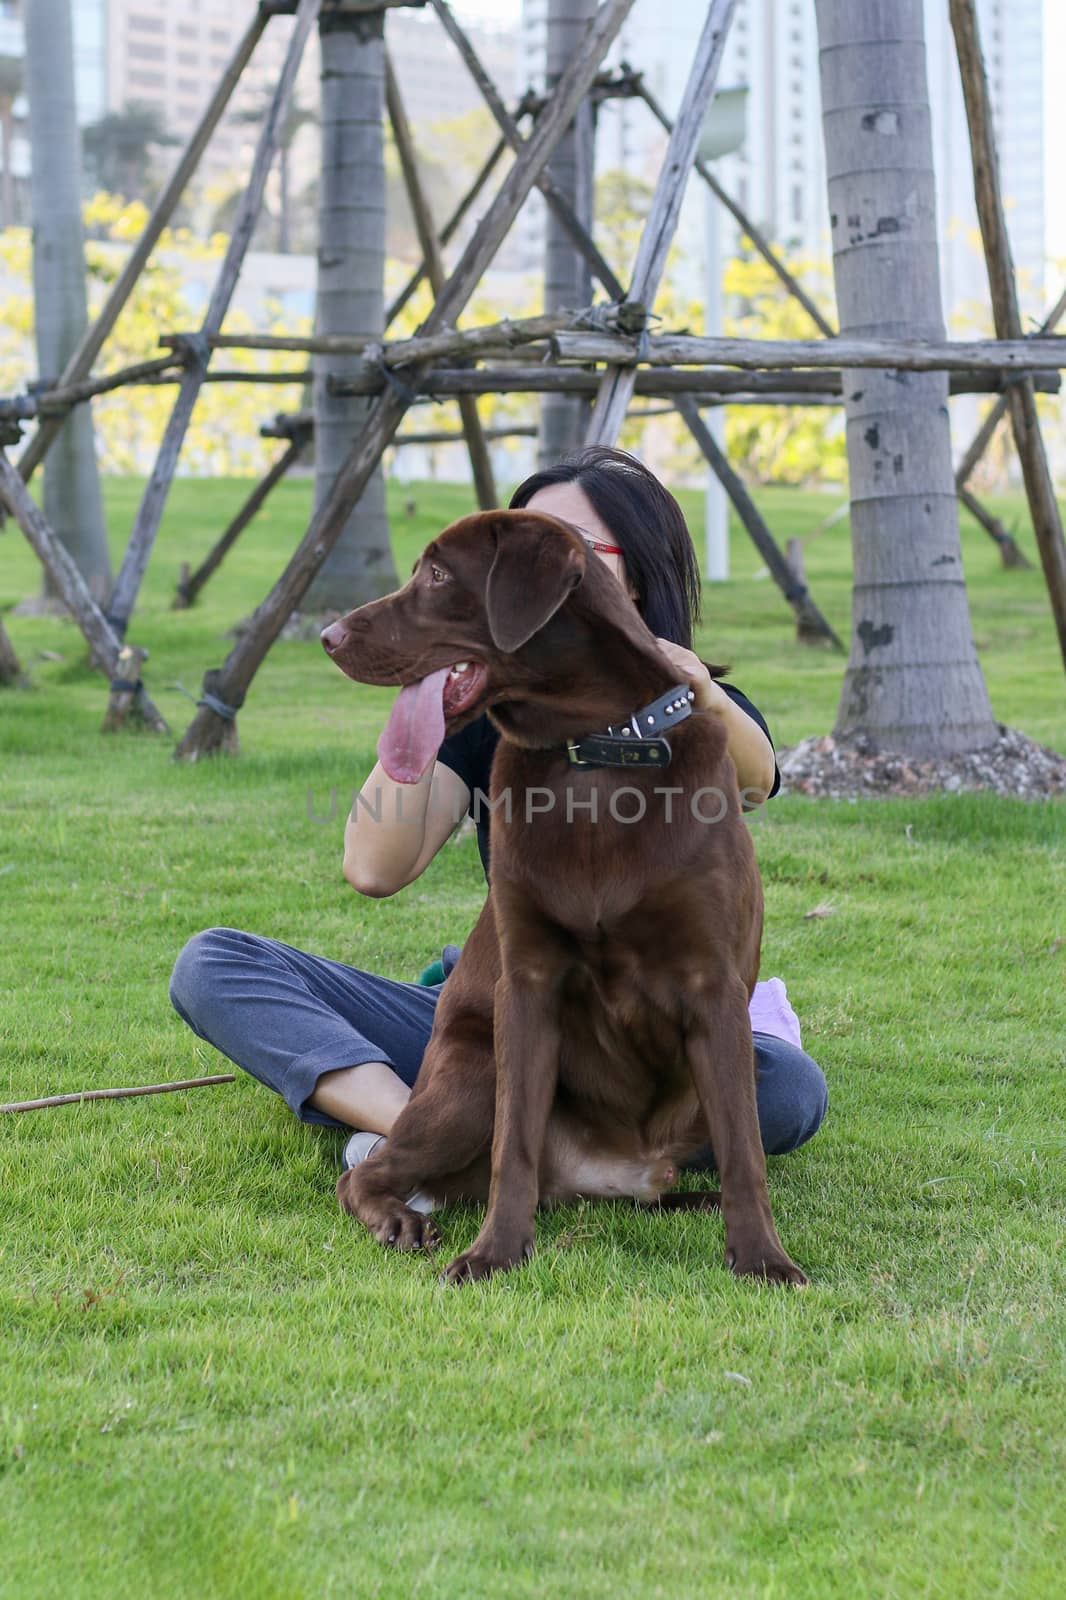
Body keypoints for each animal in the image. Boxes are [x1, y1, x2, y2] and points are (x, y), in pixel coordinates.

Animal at [320, 512, 800, 1286]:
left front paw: (762, 1258)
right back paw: (400, 1217)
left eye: (438, 573)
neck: (594, 750)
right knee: (364, 1174)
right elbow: (512, 1144)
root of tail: (608, 1176)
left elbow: (744, 1148)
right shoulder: (528, 982)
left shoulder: (714, 985)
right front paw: (494, 1253)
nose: (327, 636)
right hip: (471, 1073)